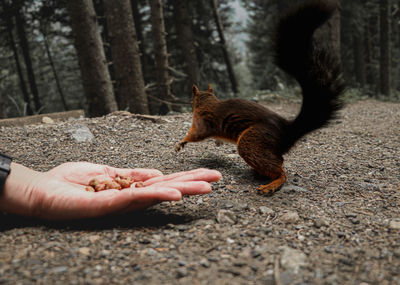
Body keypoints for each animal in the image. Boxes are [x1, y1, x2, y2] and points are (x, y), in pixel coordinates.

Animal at [176, 1, 346, 193]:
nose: (188, 101)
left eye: (192, 98)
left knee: (280, 169)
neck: (208, 102)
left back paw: (272, 184)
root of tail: (288, 132)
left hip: (253, 140)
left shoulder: (203, 121)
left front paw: (181, 142)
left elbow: (196, 134)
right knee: (278, 161)